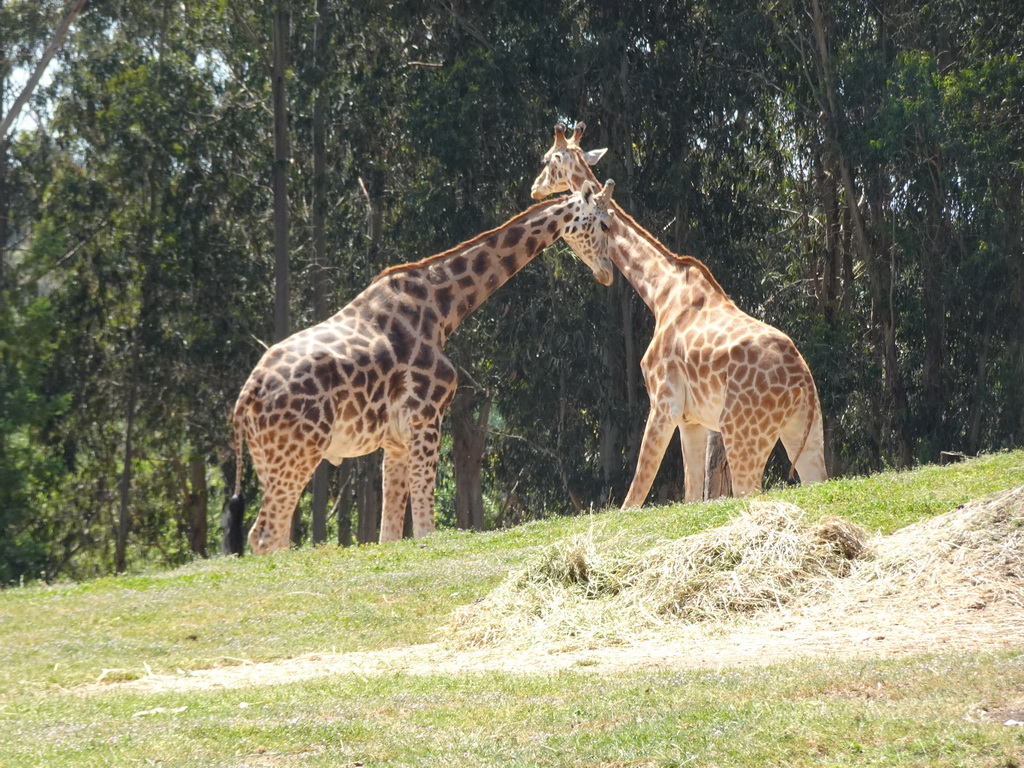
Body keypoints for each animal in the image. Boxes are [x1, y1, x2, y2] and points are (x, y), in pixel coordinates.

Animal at [232, 180, 614, 552]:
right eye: (605, 224)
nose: (608, 273)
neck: (442, 309)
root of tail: (248, 395)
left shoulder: (396, 440)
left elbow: (389, 535)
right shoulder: (426, 418)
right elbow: (425, 529)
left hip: (268, 459)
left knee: (269, 534)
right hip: (299, 452)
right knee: (266, 536)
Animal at [532, 123, 827, 507]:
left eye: (548, 160)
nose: (535, 188)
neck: (660, 291)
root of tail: (802, 382)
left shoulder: (663, 401)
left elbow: (634, 494)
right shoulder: (692, 420)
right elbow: (690, 496)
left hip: (742, 433)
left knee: (749, 489)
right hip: (806, 433)